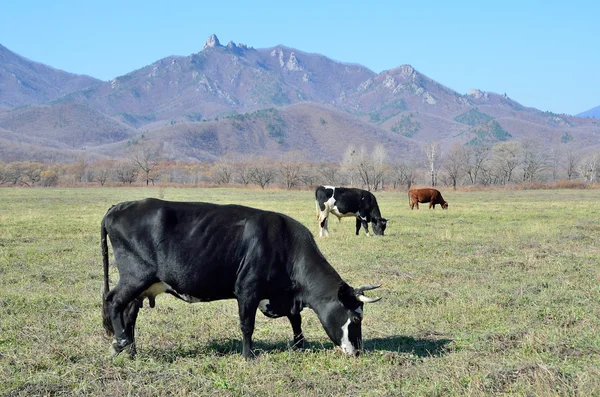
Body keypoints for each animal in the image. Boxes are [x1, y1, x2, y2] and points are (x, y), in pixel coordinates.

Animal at [99, 198, 380, 358]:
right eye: (356, 317)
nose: (358, 352)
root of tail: (119, 207)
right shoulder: (247, 290)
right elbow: (247, 325)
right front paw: (248, 355)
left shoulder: (286, 298)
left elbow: (296, 320)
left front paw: (299, 345)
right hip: (135, 277)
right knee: (113, 301)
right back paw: (120, 343)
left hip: (143, 286)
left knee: (129, 313)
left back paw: (131, 351)